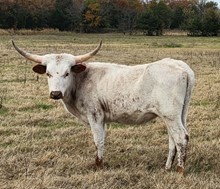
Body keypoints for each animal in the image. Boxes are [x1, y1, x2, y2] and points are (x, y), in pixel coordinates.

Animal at [12, 40, 194, 173]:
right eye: (48, 74)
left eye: (67, 73)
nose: (55, 93)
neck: (81, 79)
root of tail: (181, 66)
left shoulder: (95, 115)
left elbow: (98, 140)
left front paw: (98, 165)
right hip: (176, 115)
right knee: (173, 139)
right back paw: (167, 167)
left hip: (170, 115)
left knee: (181, 137)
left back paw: (180, 170)